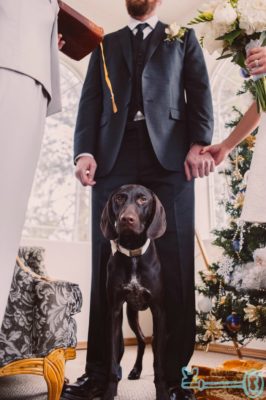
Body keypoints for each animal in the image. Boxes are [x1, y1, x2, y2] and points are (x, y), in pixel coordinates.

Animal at [100, 184, 168, 400]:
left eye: (143, 199)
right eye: (119, 198)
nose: (126, 219)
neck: (133, 254)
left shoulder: (158, 311)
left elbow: (159, 360)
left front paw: (162, 391)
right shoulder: (115, 311)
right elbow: (113, 360)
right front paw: (110, 391)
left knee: (146, 341)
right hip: (130, 314)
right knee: (141, 341)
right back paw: (135, 370)